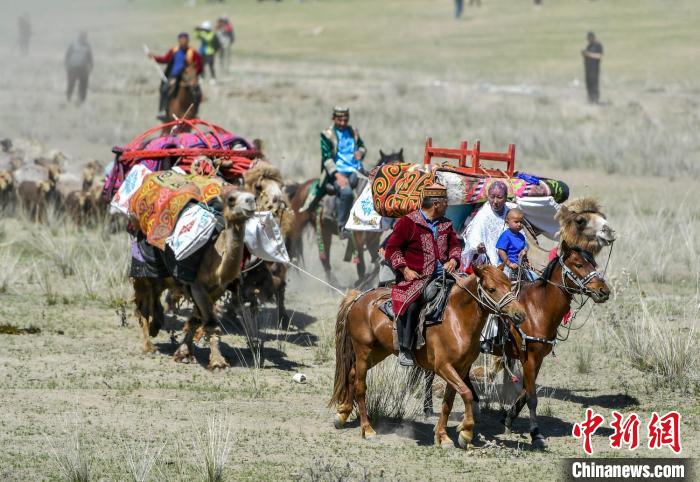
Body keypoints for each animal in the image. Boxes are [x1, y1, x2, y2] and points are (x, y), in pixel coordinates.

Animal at [286, 149, 404, 288]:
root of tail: (301, 187)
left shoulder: (373, 240)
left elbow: (376, 262)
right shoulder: (358, 239)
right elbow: (362, 266)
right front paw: (360, 283)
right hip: (306, 229)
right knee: (316, 257)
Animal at [330, 264, 528, 448]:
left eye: (509, 285)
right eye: (492, 289)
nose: (519, 314)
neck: (456, 320)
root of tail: (359, 297)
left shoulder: (460, 368)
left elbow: (449, 401)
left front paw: (442, 436)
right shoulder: (443, 367)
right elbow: (466, 393)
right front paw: (465, 432)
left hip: (377, 352)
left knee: (351, 374)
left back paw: (342, 414)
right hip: (363, 351)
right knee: (360, 386)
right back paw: (368, 429)